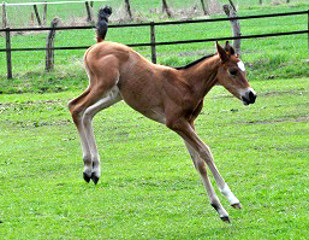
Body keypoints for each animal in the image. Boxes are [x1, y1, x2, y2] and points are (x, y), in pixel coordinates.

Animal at [68, 20, 255, 221]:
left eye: (243, 70)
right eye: (233, 71)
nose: (251, 95)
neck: (186, 84)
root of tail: (97, 44)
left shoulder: (188, 123)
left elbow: (199, 163)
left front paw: (219, 209)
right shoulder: (176, 123)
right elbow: (206, 152)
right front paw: (231, 198)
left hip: (114, 94)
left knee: (88, 114)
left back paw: (94, 170)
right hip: (102, 85)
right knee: (75, 107)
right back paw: (87, 166)